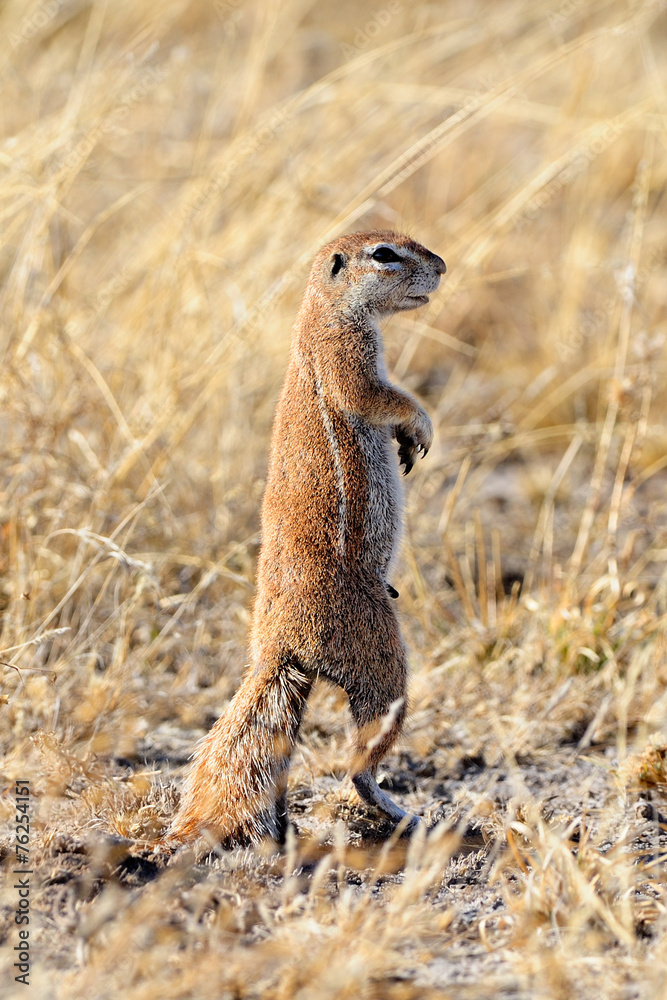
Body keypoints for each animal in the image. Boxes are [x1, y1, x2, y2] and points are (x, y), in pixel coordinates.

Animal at [164, 231, 446, 851]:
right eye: (385, 253)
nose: (442, 266)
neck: (321, 312)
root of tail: (278, 648)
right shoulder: (346, 358)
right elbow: (376, 396)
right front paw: (419, 425)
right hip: (381, 656)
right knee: (360, 759)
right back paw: (401, 811)